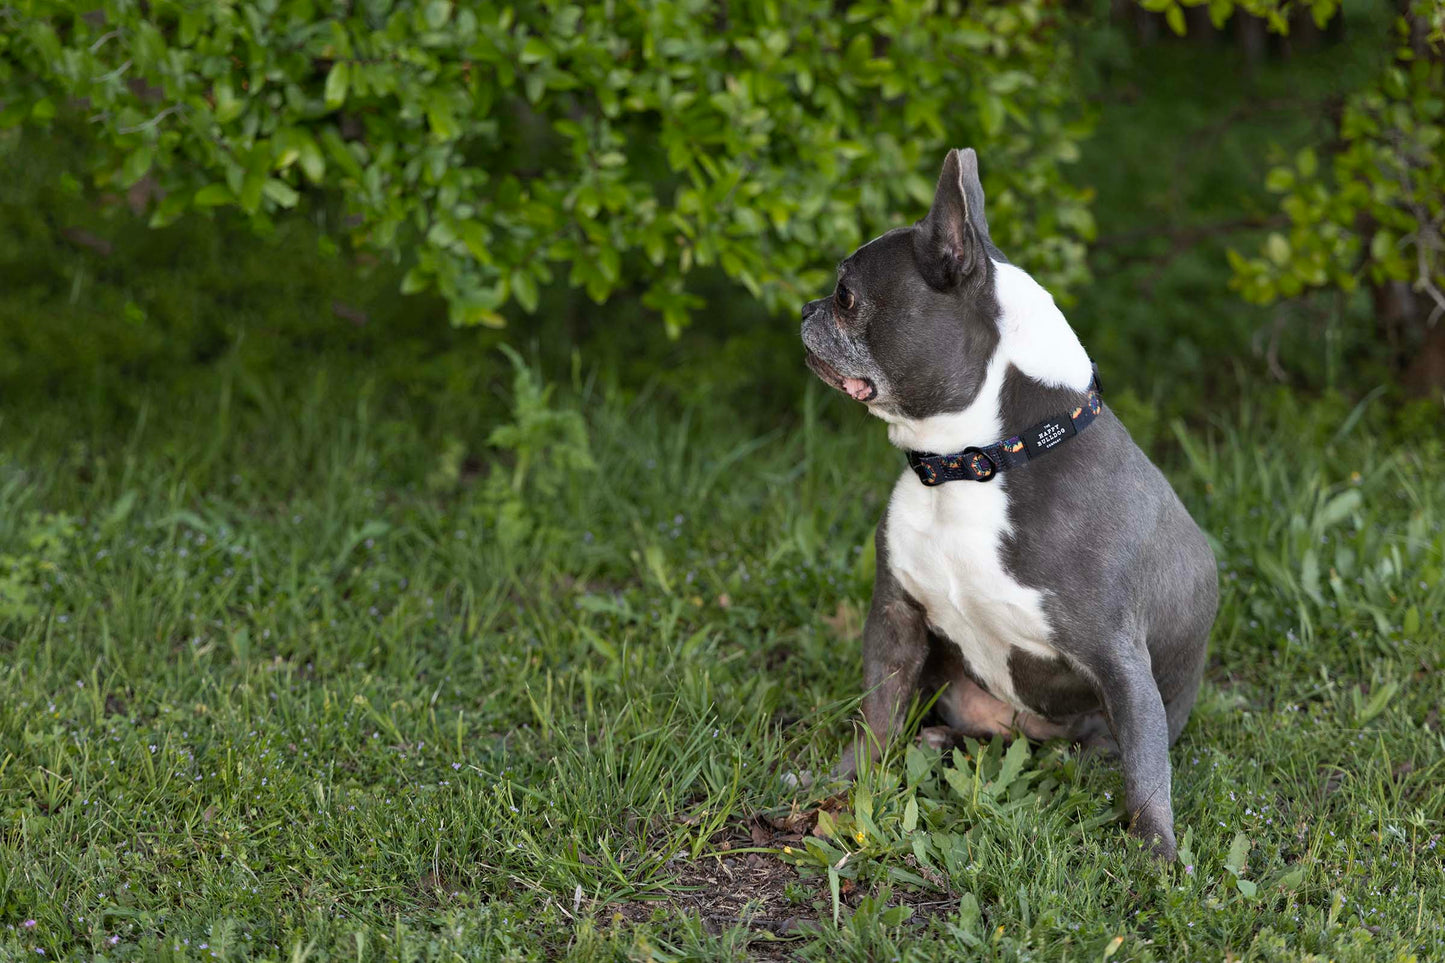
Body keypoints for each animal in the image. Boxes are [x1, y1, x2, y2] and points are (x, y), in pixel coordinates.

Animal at [803, 144, 1219, 856]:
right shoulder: (896, 616)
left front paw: (1157, 858)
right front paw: (840, 785)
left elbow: (1146, 774)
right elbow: (875, 716)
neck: (974, 464)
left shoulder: (1122, 664)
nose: (805, 309)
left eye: (846, 295)